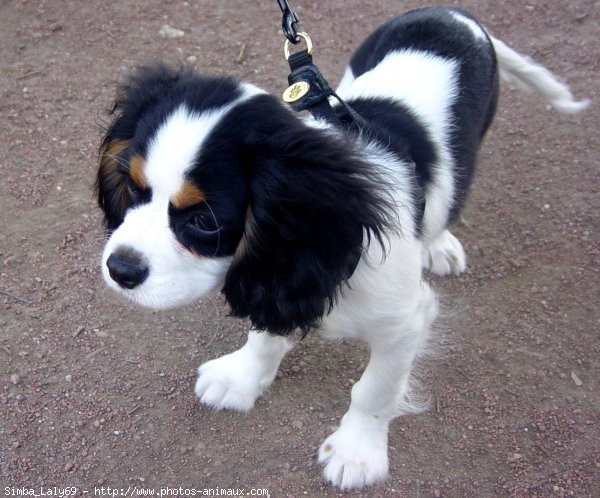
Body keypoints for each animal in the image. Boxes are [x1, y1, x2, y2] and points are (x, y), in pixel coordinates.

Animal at [96, 6, 588, 490]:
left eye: (204, 221)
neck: (342, 232)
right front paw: (242, 377)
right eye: (133, 186)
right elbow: (265, 333)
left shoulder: (405, 321)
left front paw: (357, 453)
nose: (119, 269)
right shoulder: (280, 277)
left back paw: (440, 242)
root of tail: (452, 13)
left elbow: (374, 391)